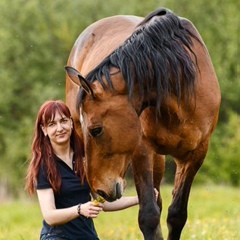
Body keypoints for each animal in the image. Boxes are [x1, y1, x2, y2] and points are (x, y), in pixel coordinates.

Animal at [64, 8, 220, 239]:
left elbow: (176, 214)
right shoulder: (142, 150)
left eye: (96, 130)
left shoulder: (196, 154)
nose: (100, 190)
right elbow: (149, 216)